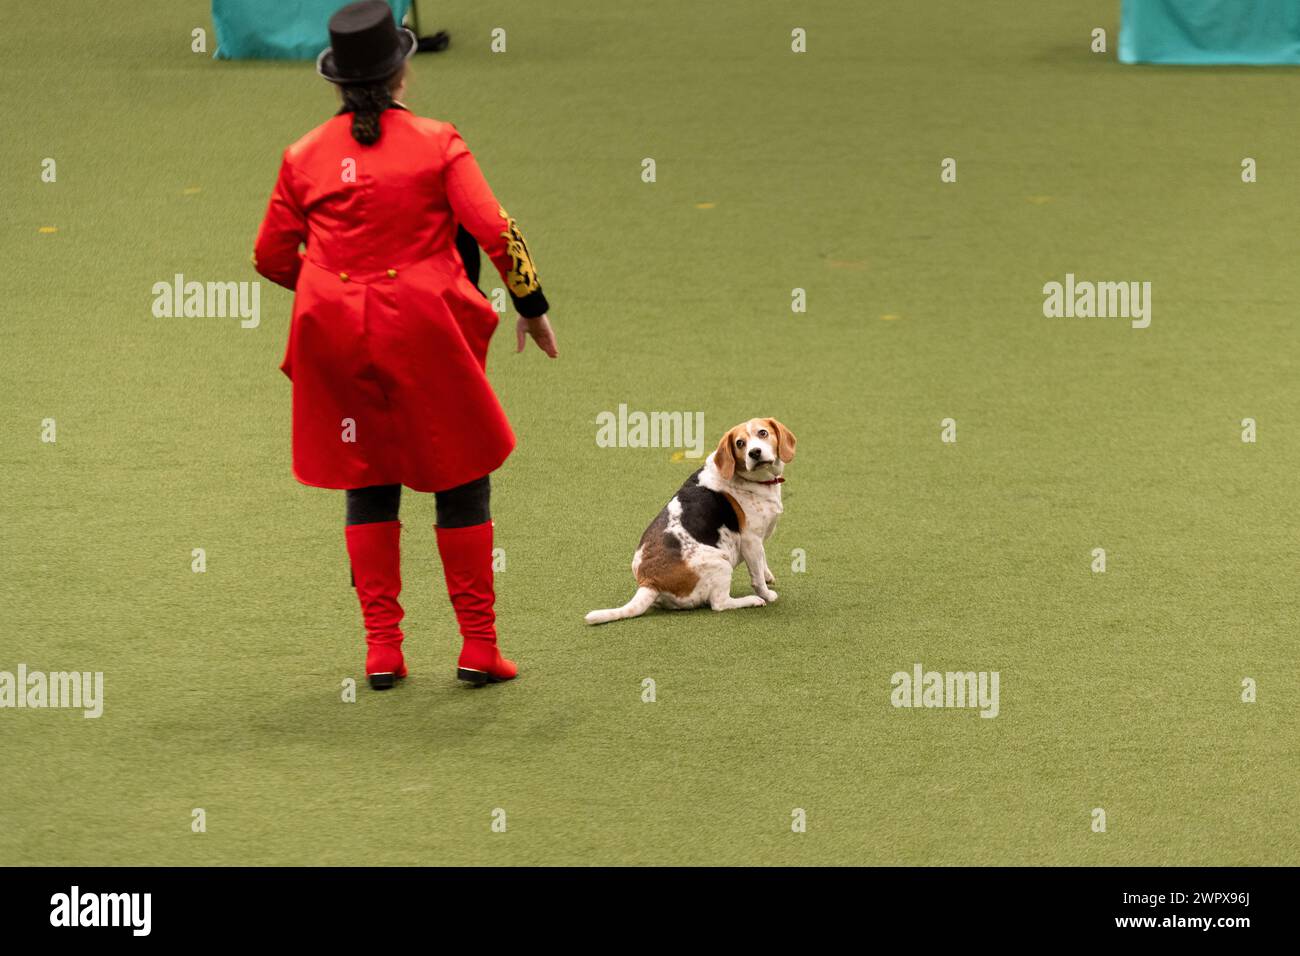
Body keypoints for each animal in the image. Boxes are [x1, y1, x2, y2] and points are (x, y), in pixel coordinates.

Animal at [587, 418, 790, 629]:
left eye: (763, 433)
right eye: (740, 443)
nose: (755, 452)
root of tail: (649, 582)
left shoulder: (758, 542)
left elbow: (762, 561)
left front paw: (768, 575)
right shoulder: (751, 540)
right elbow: (757, 577)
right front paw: (767, 594)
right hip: (721, 563)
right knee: (720, 604)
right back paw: (752, 600)